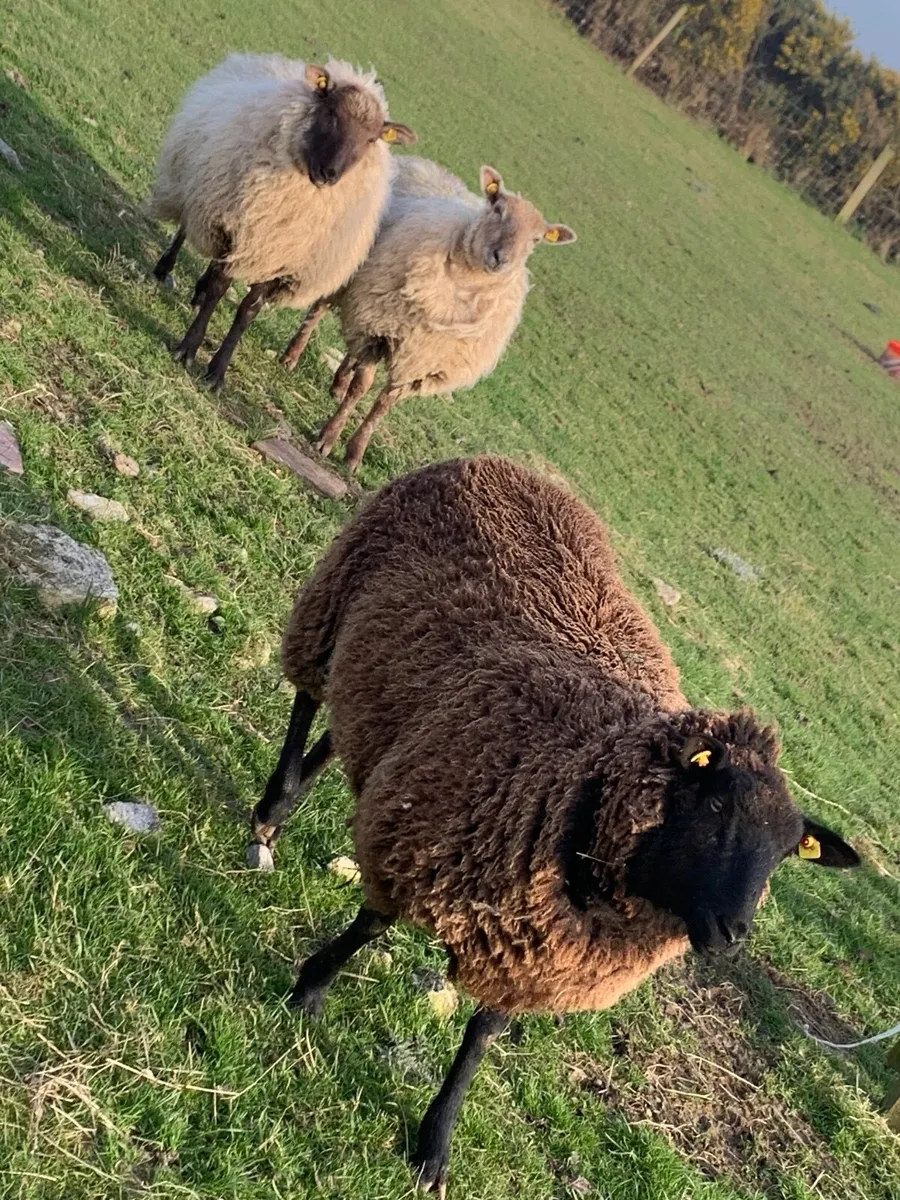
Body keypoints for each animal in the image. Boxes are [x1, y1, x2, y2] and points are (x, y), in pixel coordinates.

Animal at [147, 53, 416, 389]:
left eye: (371, 139)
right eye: (332, 114)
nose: (330, 174)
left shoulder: (277, 252)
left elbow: (248, 311)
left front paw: (218, 372)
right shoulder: (237, 227)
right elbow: (219, 290)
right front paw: (188, 349)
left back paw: (198, 290)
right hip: (199, 184)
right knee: (184, 226)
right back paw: (164, 269)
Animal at [250, 455, 860, 1195]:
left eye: (784, 855)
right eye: (716, 806)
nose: (733, 934)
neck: (584, 778)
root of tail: (501, 464)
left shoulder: (540, 954)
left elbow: (481, 1036)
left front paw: (435, 1146)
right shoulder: (421, 840)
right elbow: (370, 927)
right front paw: (308, 992)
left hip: (397, 683)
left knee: (348, 728)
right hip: (334, 598)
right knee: (309, 698)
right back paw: (271, 812)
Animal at [280, 158, 576, 471]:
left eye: (536, 239)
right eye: (498, 209)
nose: (500, 259)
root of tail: (422, 163)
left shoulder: (419, 359)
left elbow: (383, 405)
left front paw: (354, 453)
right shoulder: (381, 329)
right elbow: (361, 387)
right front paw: (328, 437)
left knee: (352, 348)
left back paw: (338, 383)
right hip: (349, 265)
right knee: (318, 310)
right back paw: (291, 358)